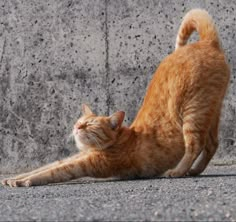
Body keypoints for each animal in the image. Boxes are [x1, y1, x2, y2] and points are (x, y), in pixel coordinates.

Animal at [2, 8, 230, 186]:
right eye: (80, 121)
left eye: (91, 125)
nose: (77, 127)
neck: (119, 139)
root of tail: (207, 42)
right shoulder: (75, 157)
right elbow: (45, 166)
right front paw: (14, 178)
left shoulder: (87, 164)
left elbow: (51, 172)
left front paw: (25, 181)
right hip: (211, 111)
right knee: (212, 143)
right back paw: (195, 170)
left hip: (194, 111)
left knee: (195, 144)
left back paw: (179, 171)